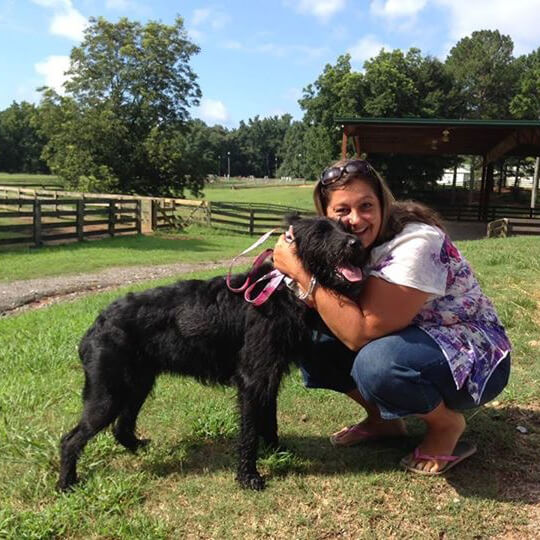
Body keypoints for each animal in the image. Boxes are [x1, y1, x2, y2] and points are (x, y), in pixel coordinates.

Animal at [58, 213, 368, 492]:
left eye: (346, 226)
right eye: (320, 232)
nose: (357, 244)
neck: (284, 287)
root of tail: (96, 325)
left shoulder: (269, 377)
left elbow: (269, 419)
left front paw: (277, 451)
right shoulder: (252, 380)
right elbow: (249, 431)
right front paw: (248, 476)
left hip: (137, 386)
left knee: (121, 427)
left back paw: (137, 447)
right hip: (108, 394)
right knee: (70, 439)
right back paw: (66, 483)